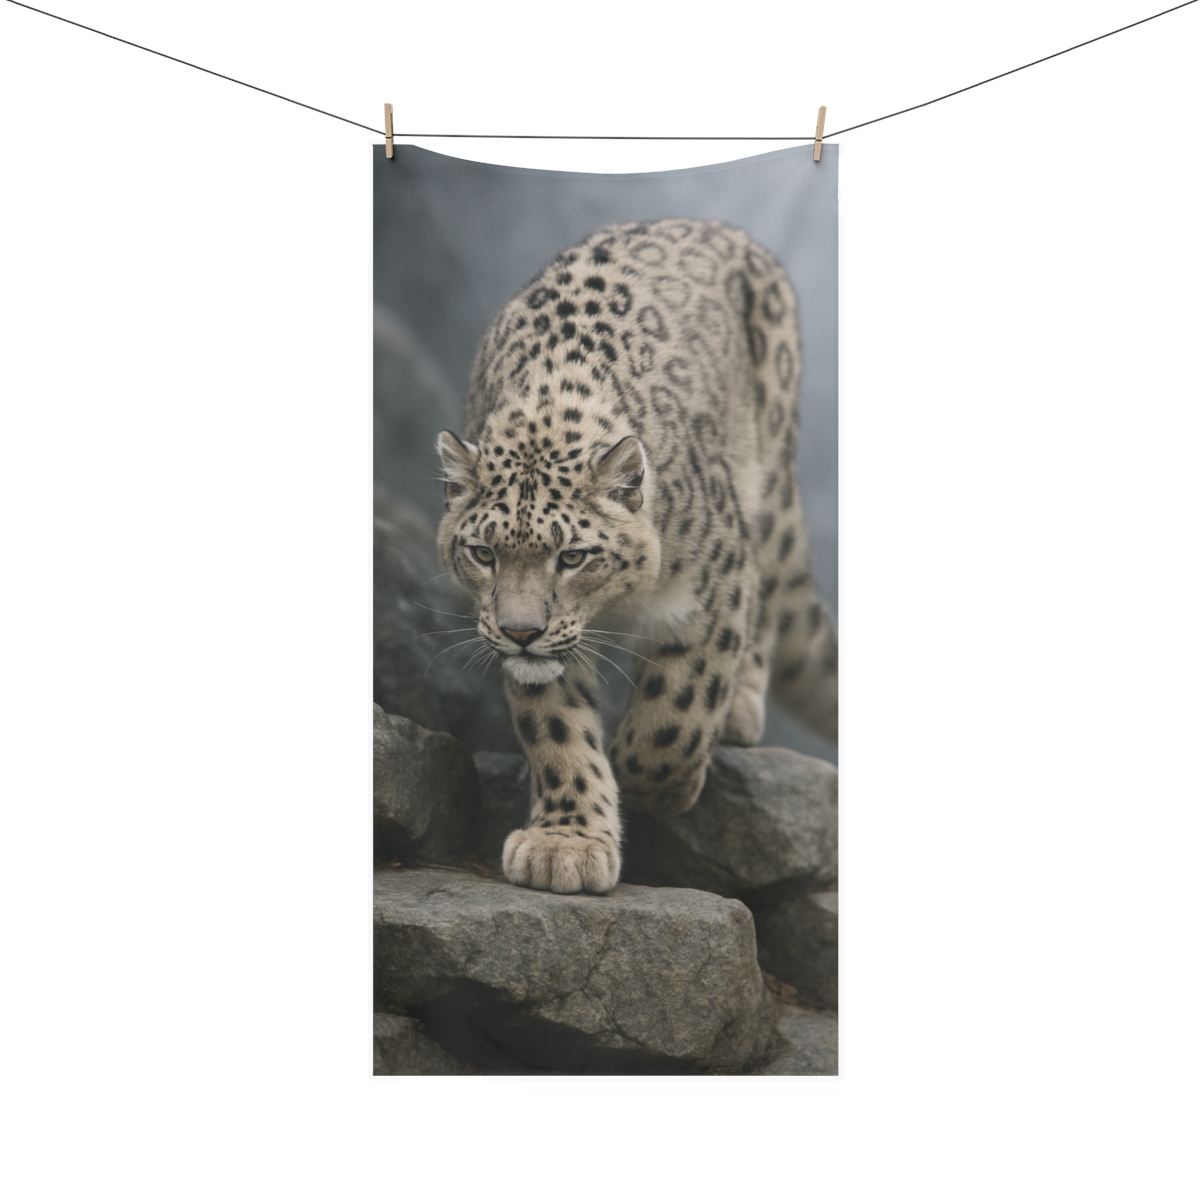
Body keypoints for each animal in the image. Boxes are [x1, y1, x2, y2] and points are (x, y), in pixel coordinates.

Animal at [436, 217, 837, 895]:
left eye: (573, 556)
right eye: (484, 552)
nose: (521, 632)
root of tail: (718, 227)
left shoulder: (714, 584)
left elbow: (675, 716)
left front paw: (650, 783)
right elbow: (555, 729)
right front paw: (565, 845)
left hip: (766, 485)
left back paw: (739, 707)